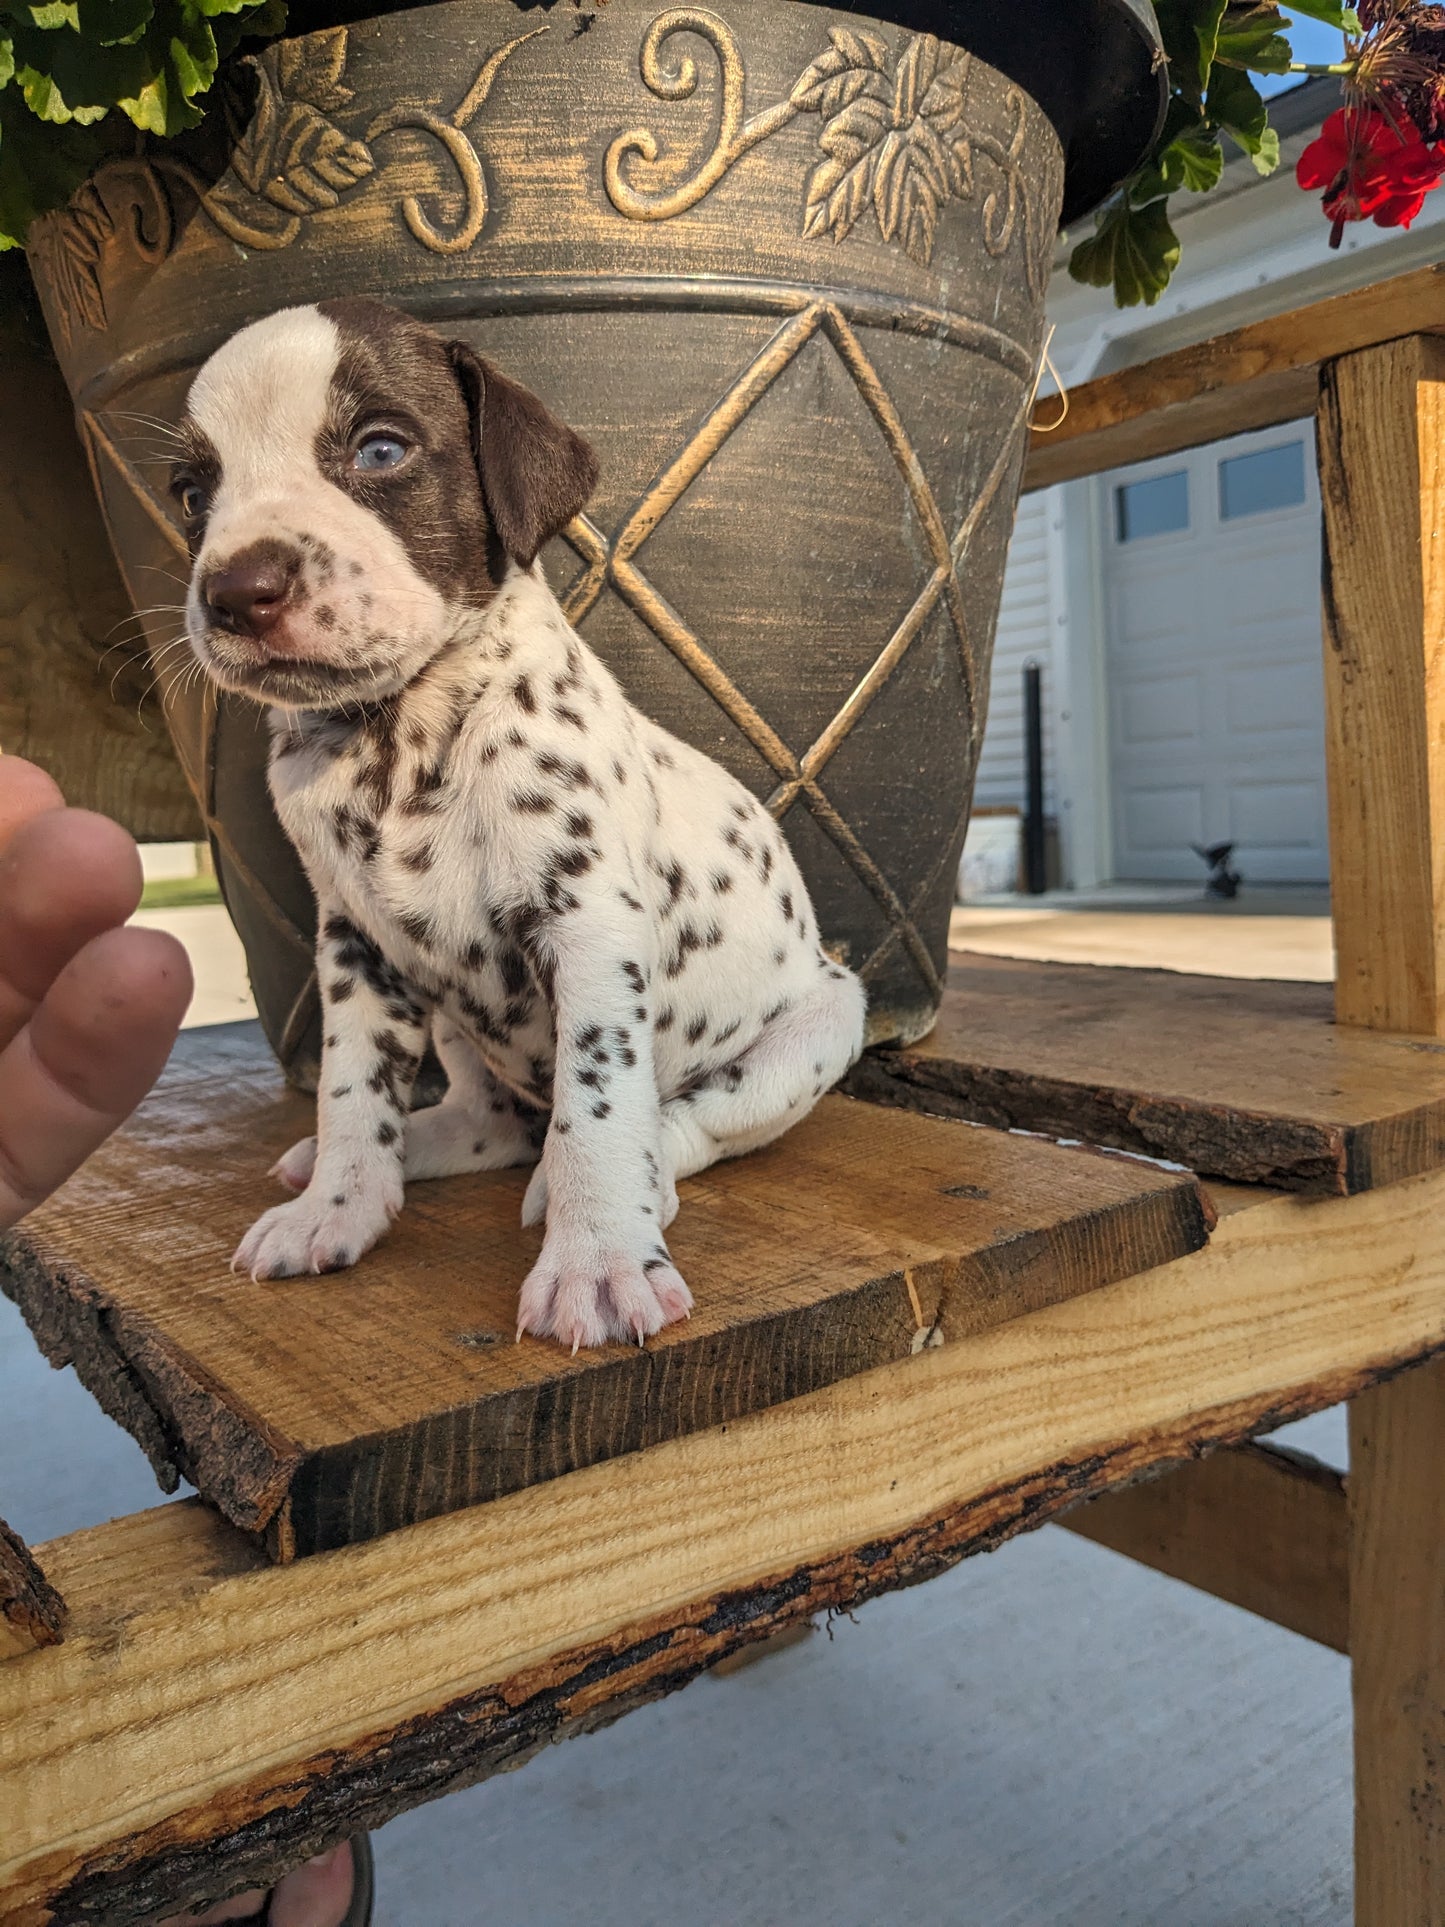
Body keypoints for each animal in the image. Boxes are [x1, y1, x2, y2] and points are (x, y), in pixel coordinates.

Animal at [175, 304, 867, 1356]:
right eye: (191, 493)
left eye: (381, 448)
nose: (234, 590)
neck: (400, 736)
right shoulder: (354, 948)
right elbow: (351, 1090)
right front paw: (337, 1205)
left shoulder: (588, 931)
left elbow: (600, 1103)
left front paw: (599, 1262)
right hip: (456, 1022)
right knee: (490, 1120)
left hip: (817, 1030)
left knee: (676, 1125)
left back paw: (616, 1182)